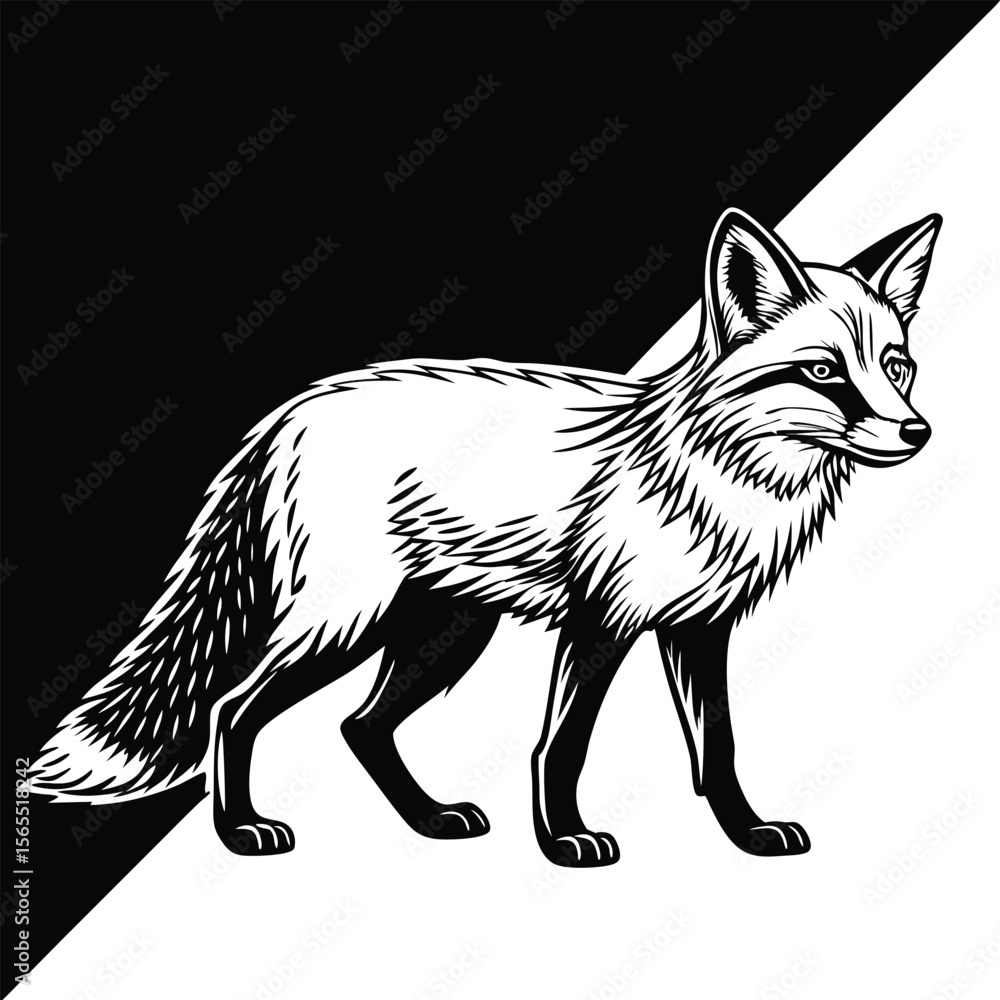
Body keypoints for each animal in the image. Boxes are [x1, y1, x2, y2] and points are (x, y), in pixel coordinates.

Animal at [31, 208, 940, 867]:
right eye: (823, 371)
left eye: (896, 367)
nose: (917, 432)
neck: (726, 477)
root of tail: (290, 410)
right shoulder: (601, 624)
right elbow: (561, 746)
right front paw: (564, 841)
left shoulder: (696, 629)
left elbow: (718, 751)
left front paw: (746, 835)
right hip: (344, 627)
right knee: (233, 707)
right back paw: (240, 832)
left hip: (447, 632)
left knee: (360, 727)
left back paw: (430, 822)